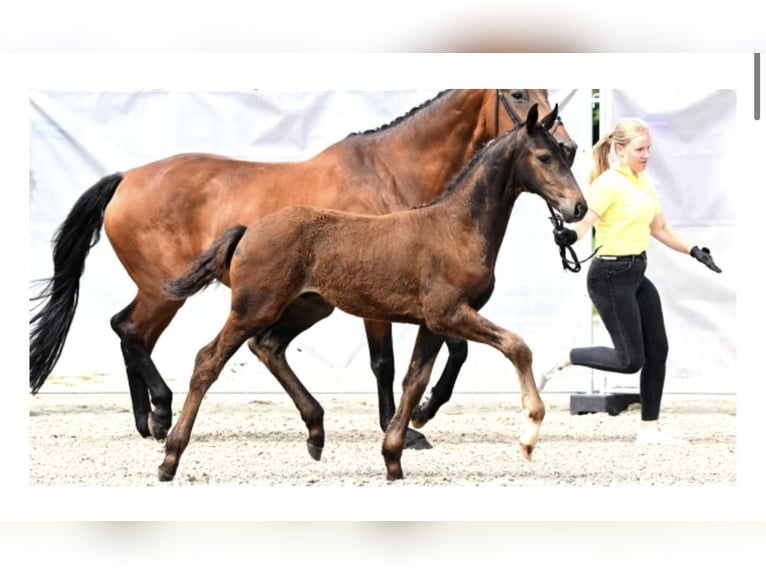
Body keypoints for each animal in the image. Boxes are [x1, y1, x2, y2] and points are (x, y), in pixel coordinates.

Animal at [30, 90, 580, 450]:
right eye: (517, 93)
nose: (572, 146)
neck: (390, 173)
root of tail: (126, 178)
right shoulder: (389, 306)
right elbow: (387, 364)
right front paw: (404, 427)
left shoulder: (429, 307)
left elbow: (452, 354)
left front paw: (422, 412)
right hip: (169, 291)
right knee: (133, 330)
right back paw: (162, 413)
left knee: (134, 331)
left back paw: (150, 420)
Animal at [156, 104, 588, 486]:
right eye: (544, 156)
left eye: (566, 154)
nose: (578, 207)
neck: (456, 226)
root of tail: (249, 228)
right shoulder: (449, 312)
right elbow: (517, 346)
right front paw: (529, 435)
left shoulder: (433, 323)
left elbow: (415, 381)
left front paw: (394, 457)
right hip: (254, 307)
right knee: (208, 360)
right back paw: (170, 458)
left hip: (310, 307)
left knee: (269, 346)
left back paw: (316, 433)